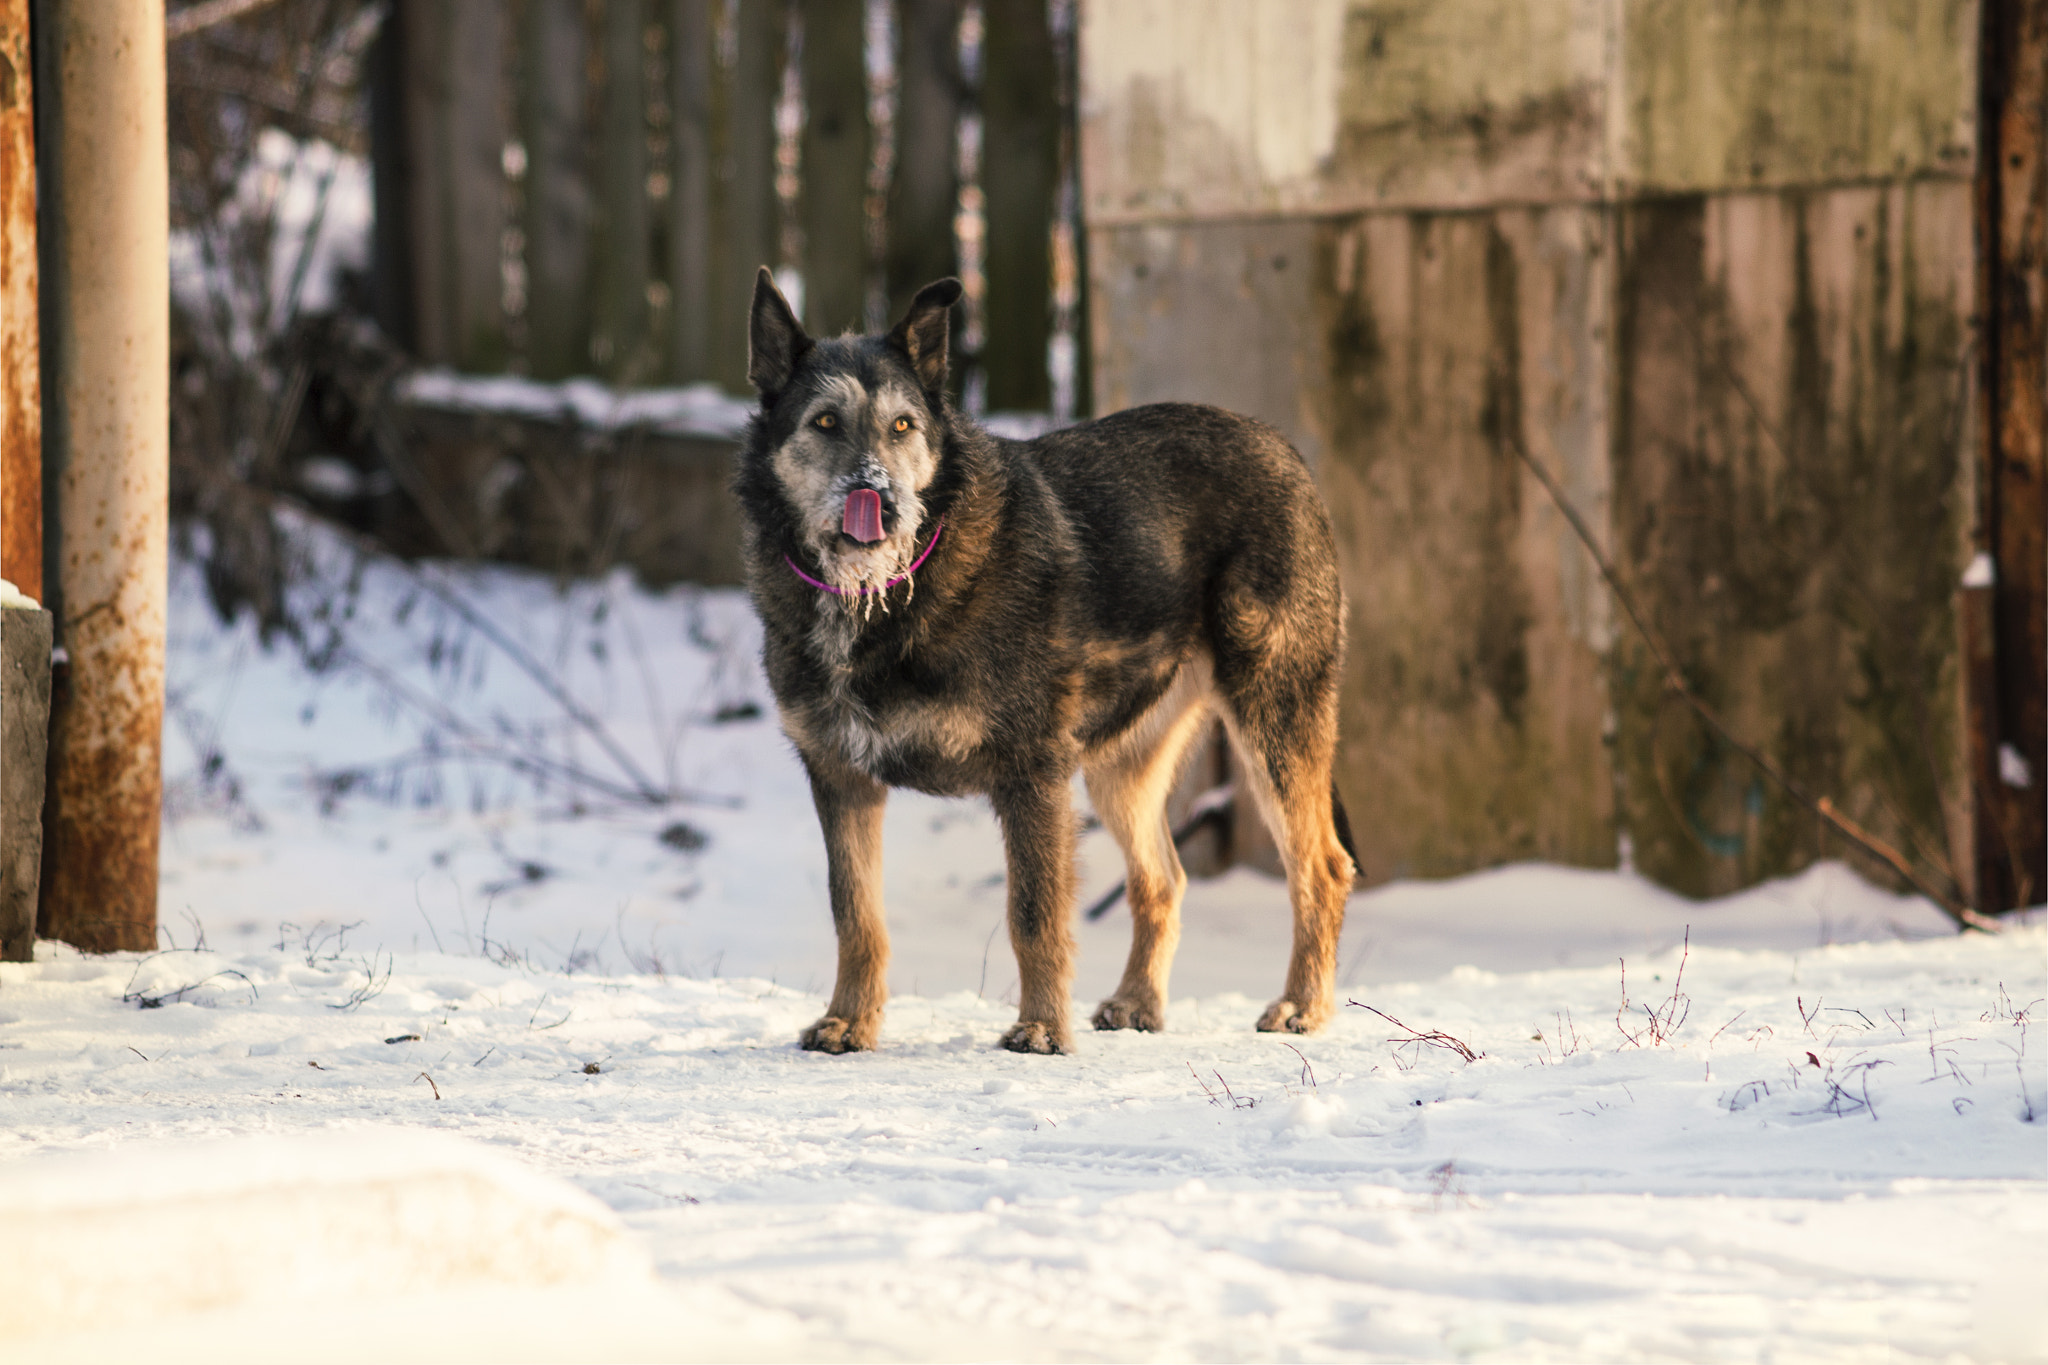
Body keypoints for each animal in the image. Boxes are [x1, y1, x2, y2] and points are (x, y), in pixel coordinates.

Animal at [737, 270, 1359, 1055]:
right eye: (823, 423)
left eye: (903, 426)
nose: (880, 497)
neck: (892, 589)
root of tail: (1282, 447)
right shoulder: (842, 775)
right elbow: (857, 915)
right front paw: (850, 1020)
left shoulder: (1030, 771)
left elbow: (1033, 914)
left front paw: (1038, 1029)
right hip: (1119, 765)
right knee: (1163, 879)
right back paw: (1137, 1001)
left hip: (1273, 717)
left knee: (1323, 868)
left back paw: (1303, 1005)